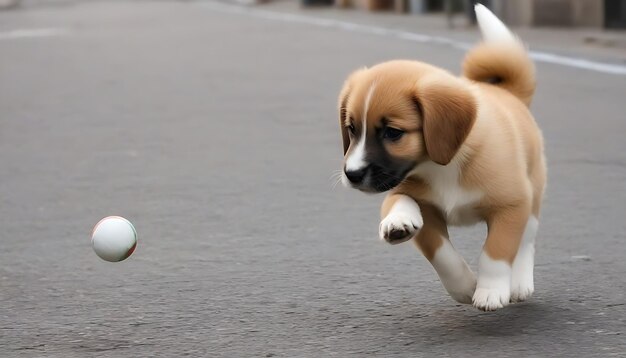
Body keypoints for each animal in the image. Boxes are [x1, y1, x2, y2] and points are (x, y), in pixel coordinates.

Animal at [338, 4, 544, 310]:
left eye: (392, 132)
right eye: (352, 128)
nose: (352, 175)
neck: (442, 166)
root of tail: (508, 92)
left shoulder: (512, 204)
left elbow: (496, 252)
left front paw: (491, 290)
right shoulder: (409, 195)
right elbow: (440, 251)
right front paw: (463, 285)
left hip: (534, 193)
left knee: (527, 239)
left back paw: (519, 282)